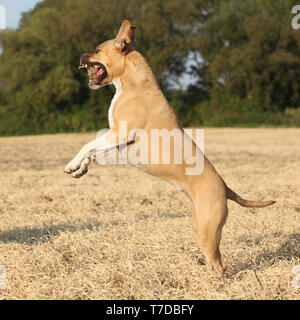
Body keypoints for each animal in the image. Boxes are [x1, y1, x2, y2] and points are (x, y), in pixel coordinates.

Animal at [64, 20, 276, 272]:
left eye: (97, 50)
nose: (80, 55)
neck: (132, 80)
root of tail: (225, 188)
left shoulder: (119, 134)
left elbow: (88, 145)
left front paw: (71, 164)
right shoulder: (113, 138)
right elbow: (93, 150)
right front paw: (80, 169)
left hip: (209, 230)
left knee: (219, 264)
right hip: (199, 227)